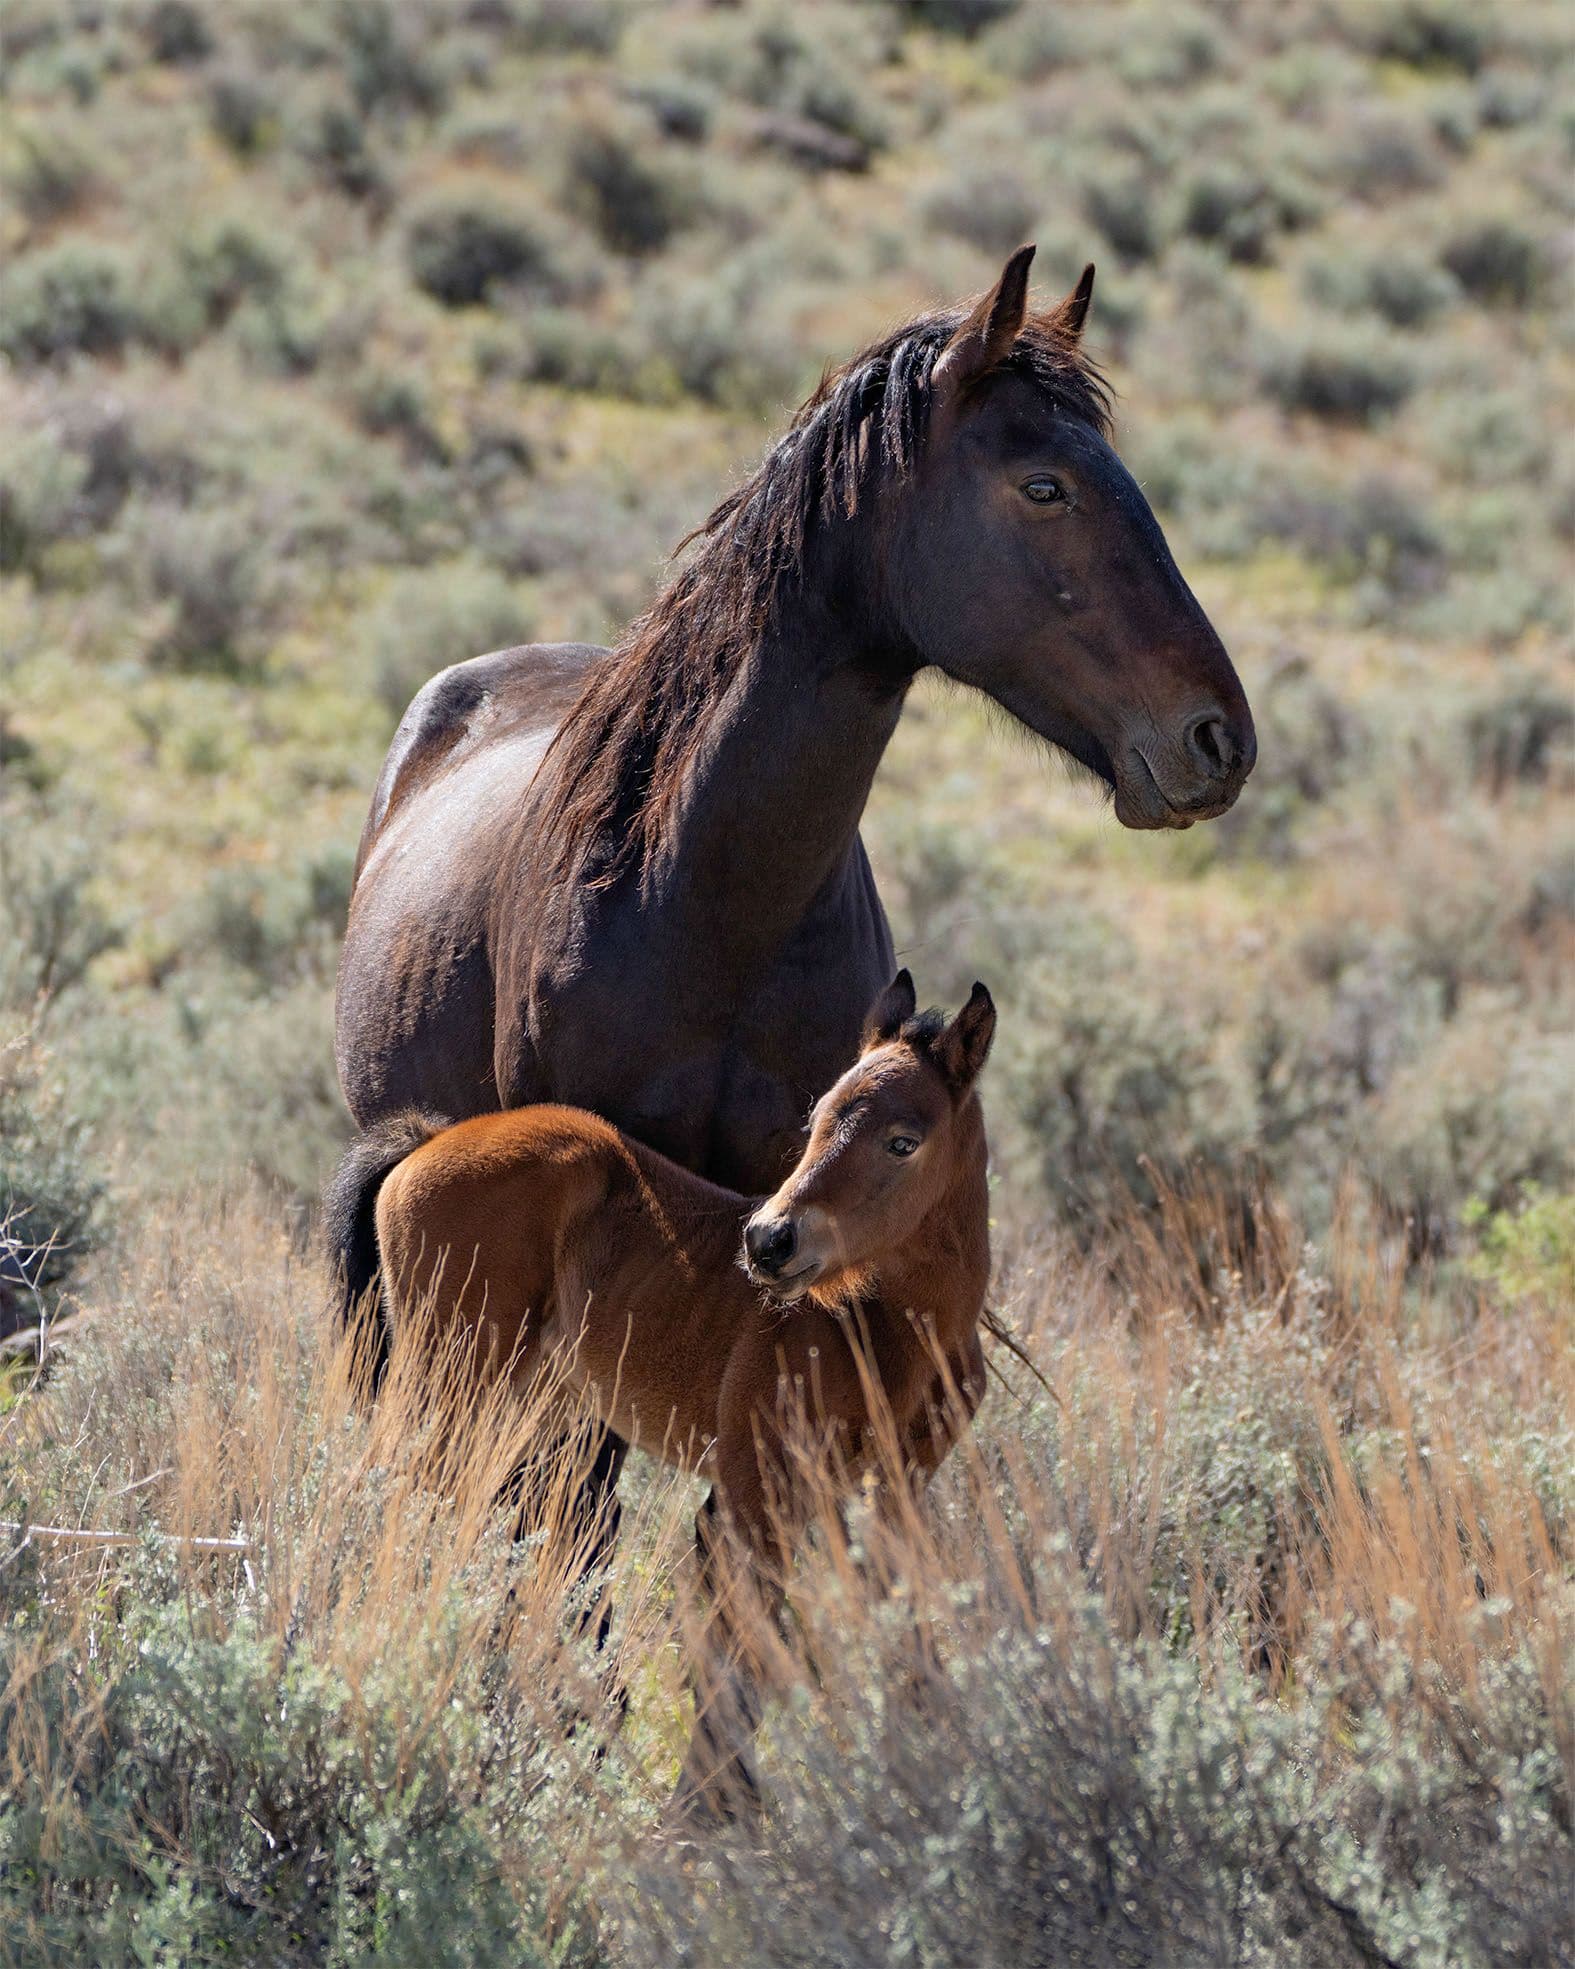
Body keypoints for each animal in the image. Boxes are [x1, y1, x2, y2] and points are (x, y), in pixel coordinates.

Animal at [349, 972, 995, 1817]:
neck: (884, 1321)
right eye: (817, 1119)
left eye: (901, 1140)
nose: (768, 1240)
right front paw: (711, 1811)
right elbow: (739, 1650)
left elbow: (902, 1633)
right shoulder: (756, 1492)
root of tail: (425, 1140)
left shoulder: (892, 1491)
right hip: (448, 1380)